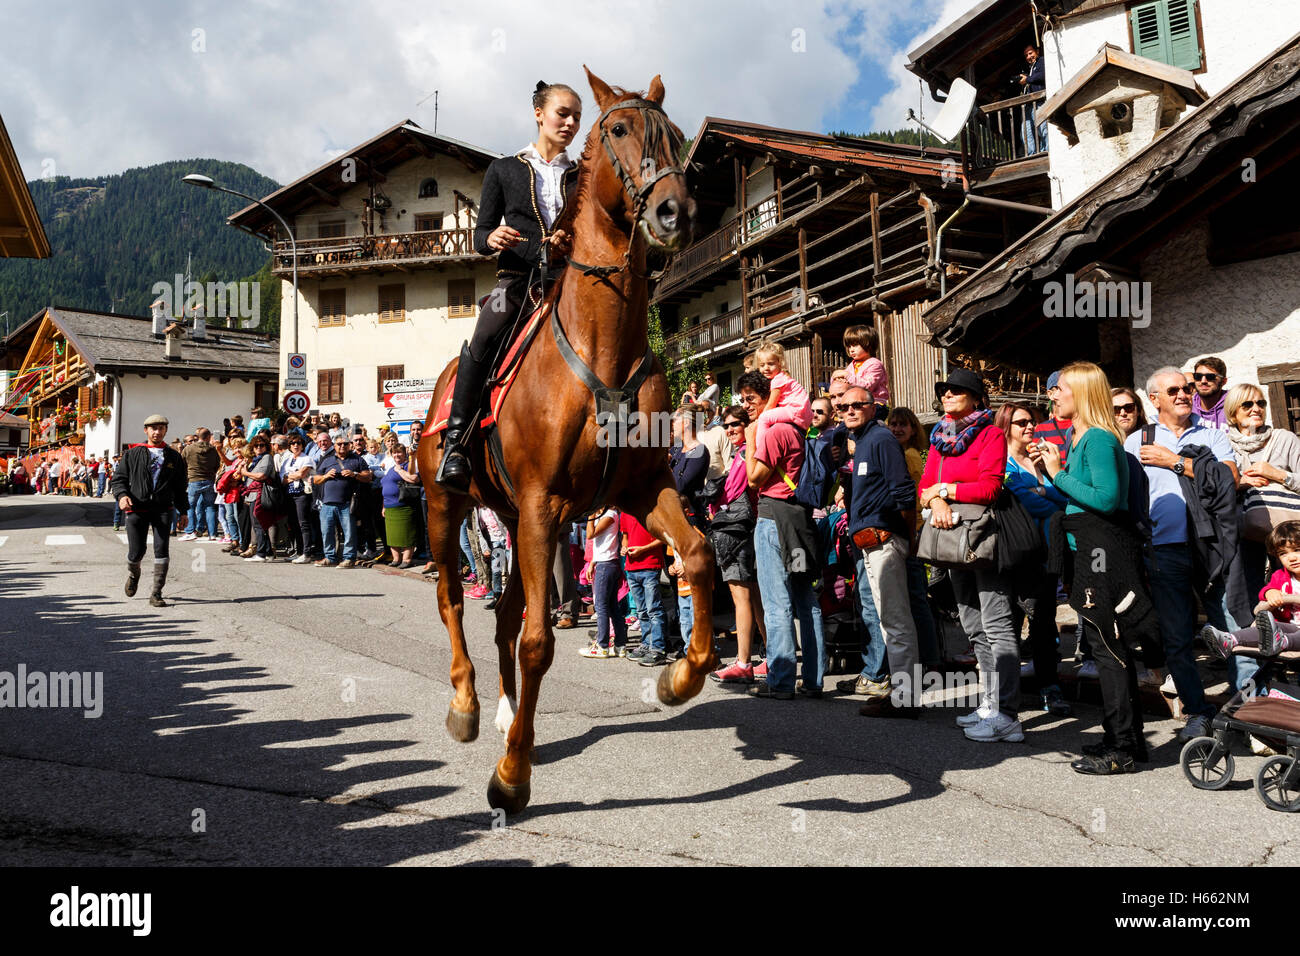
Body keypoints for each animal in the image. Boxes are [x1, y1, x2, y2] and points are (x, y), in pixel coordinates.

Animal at [416, 69, 717, 816]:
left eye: (675, 134)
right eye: (617, 129)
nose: (674, 212)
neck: (603, 344)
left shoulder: (637, 491)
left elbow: (698, 557)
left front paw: (679, 678)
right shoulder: (542, 504)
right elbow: (536, 643)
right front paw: (511, 777)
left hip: (513, 521)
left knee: (501, 617)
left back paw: (502, 714)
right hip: (446, 507)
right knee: (452, 602)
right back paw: (468, 707)